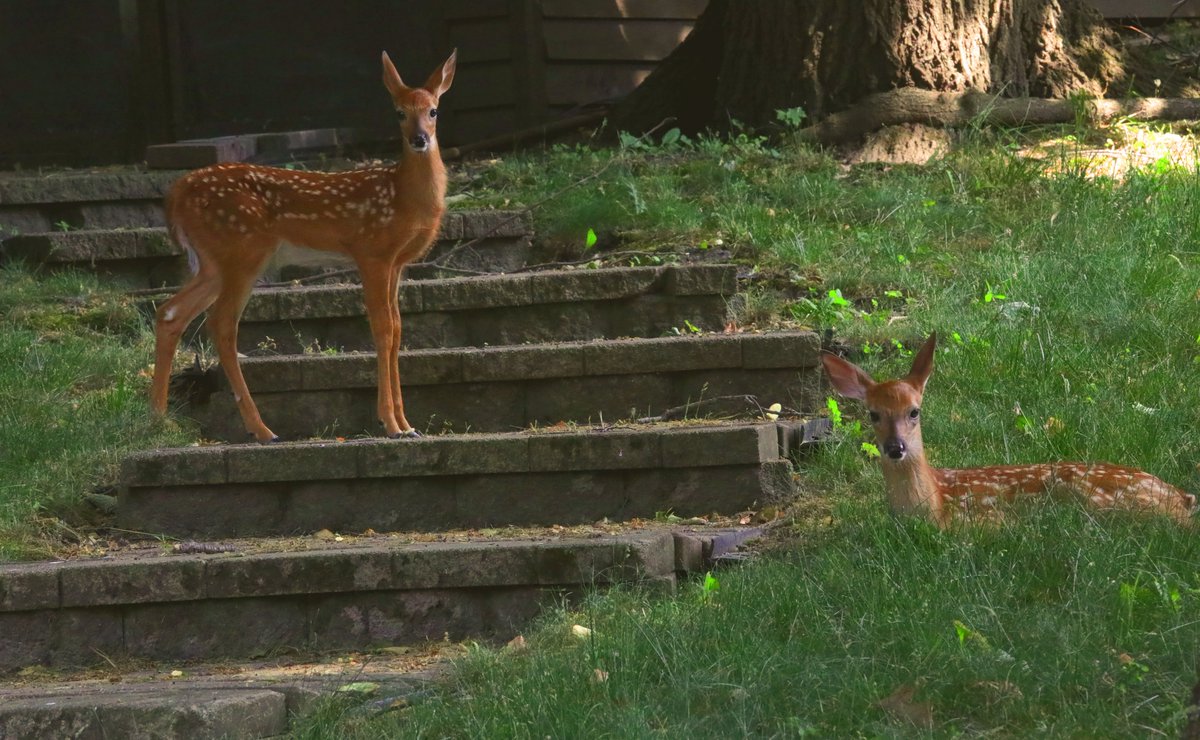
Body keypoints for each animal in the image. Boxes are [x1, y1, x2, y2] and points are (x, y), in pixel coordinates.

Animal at [150, 49, 457, 443]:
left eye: (433, 111)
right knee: (221, 323)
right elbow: (383, 328)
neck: (403, 198)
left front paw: (407, 423)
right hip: (242, 250)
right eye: (399, 112)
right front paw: (391, 424)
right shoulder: (371, 251)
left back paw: (158, 417)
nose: (419, 139)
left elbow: (400, 328)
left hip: (214, 261)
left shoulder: (397, 262)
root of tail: (176, 194)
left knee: (170, 313)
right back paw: (262, 429)